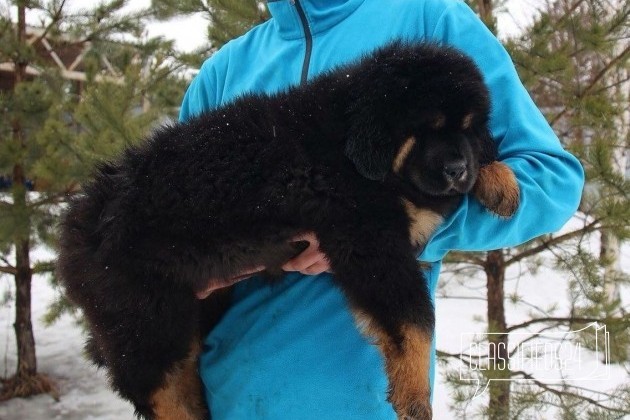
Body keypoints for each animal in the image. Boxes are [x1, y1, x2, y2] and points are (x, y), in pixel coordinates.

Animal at [56, 40, 520, 420]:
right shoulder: (367, 240)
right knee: (161, 394)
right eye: (424, 129)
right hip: (145, 322)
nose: (457, 169)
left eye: (469, 127)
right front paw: (414, 394)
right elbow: (415, 319)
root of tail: (78, 219)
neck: (351, 145)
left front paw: (499, 180)